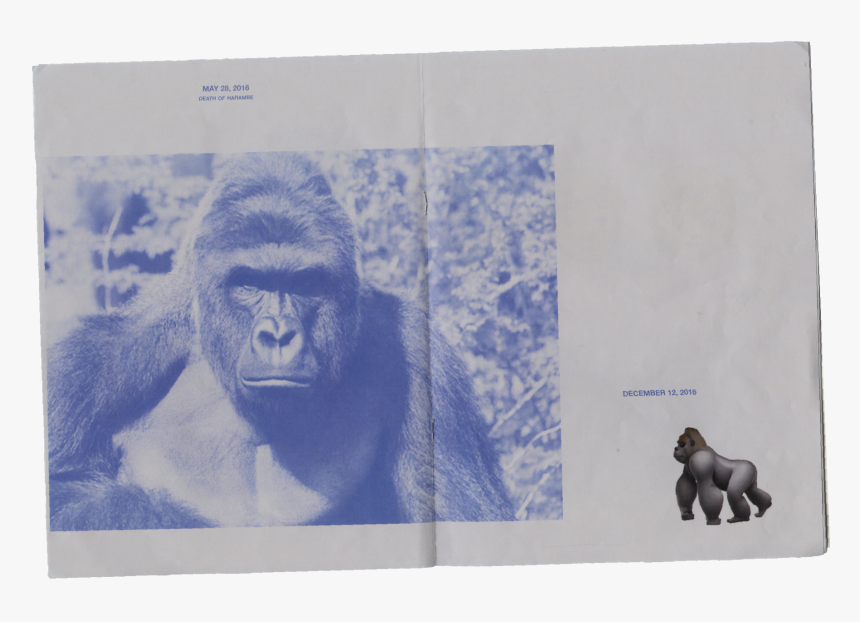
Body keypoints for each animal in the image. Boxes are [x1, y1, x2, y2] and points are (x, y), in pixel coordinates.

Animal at [46, 152, 514, 530]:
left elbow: (464, 516)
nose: (277, 335)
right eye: (249, 283)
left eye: (305, 283)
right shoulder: (87, 367)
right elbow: (65, 496)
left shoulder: (420, 358)